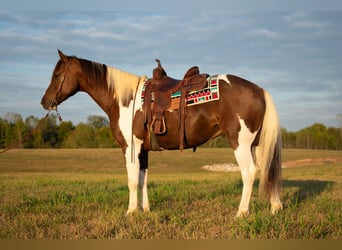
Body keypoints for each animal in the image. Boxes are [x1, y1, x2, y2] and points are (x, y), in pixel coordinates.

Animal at [41, 49, 282, 218]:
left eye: (57, 74)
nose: (45, 102)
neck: (125, 99)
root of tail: (259, 90)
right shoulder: (143, 150)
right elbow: (143, 179)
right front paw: (145, 210)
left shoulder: (130, 147)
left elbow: (132, 180)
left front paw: (130, 212)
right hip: (257, 144)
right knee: (268, 171)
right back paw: (275, 208)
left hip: (241, 143)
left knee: (249, 173)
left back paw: (241, 212)